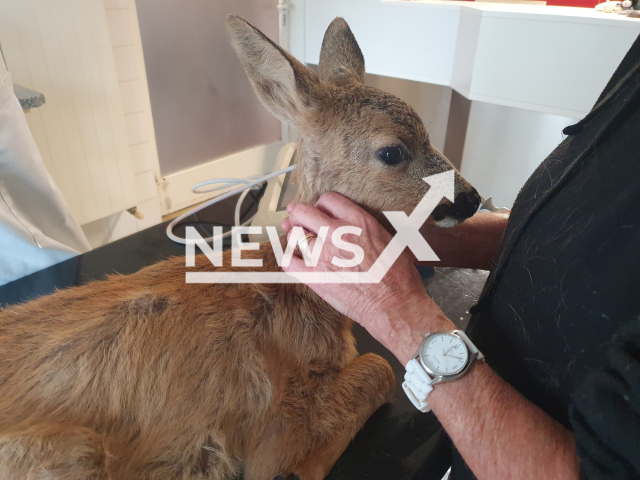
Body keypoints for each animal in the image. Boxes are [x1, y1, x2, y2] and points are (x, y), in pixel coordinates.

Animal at [0, 15, 480, 480]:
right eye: (392, 152)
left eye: (429, 134)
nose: (472, 199)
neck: (297, 290)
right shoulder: (278, 428)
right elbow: (378, 368)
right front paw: (297, 470)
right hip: (75, 451)